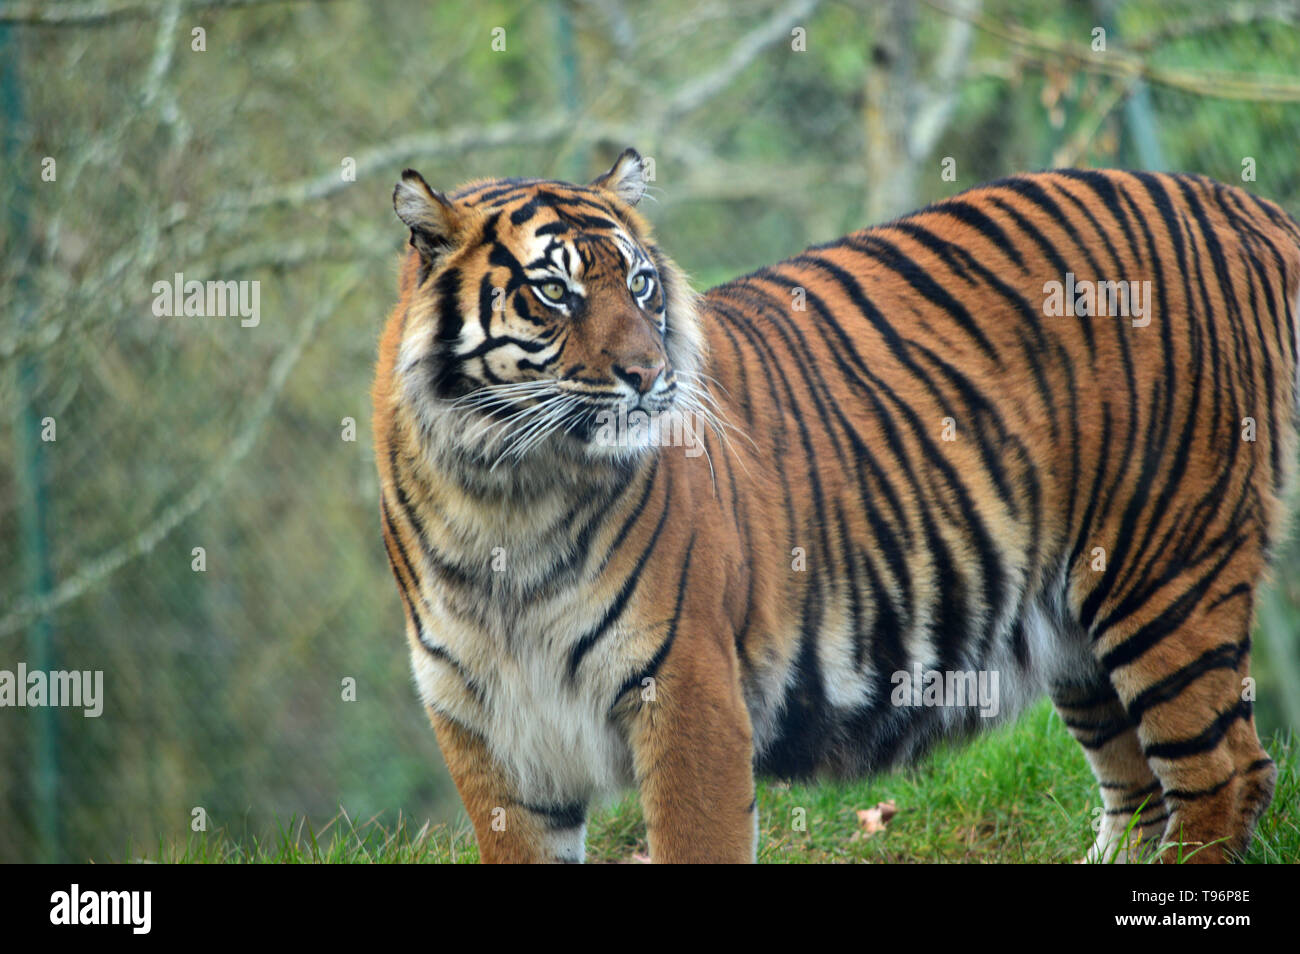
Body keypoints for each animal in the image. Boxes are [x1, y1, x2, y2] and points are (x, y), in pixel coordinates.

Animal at [371, 147, 1300, 868]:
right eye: (555, 294)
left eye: (640, 285)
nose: (649, 375)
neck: (504, 500)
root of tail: (1237, 202)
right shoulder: (486, 727)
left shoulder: (687, 693)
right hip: (1076, 619)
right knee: (1141, 788)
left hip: (1164, 569)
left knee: (1226, 771)